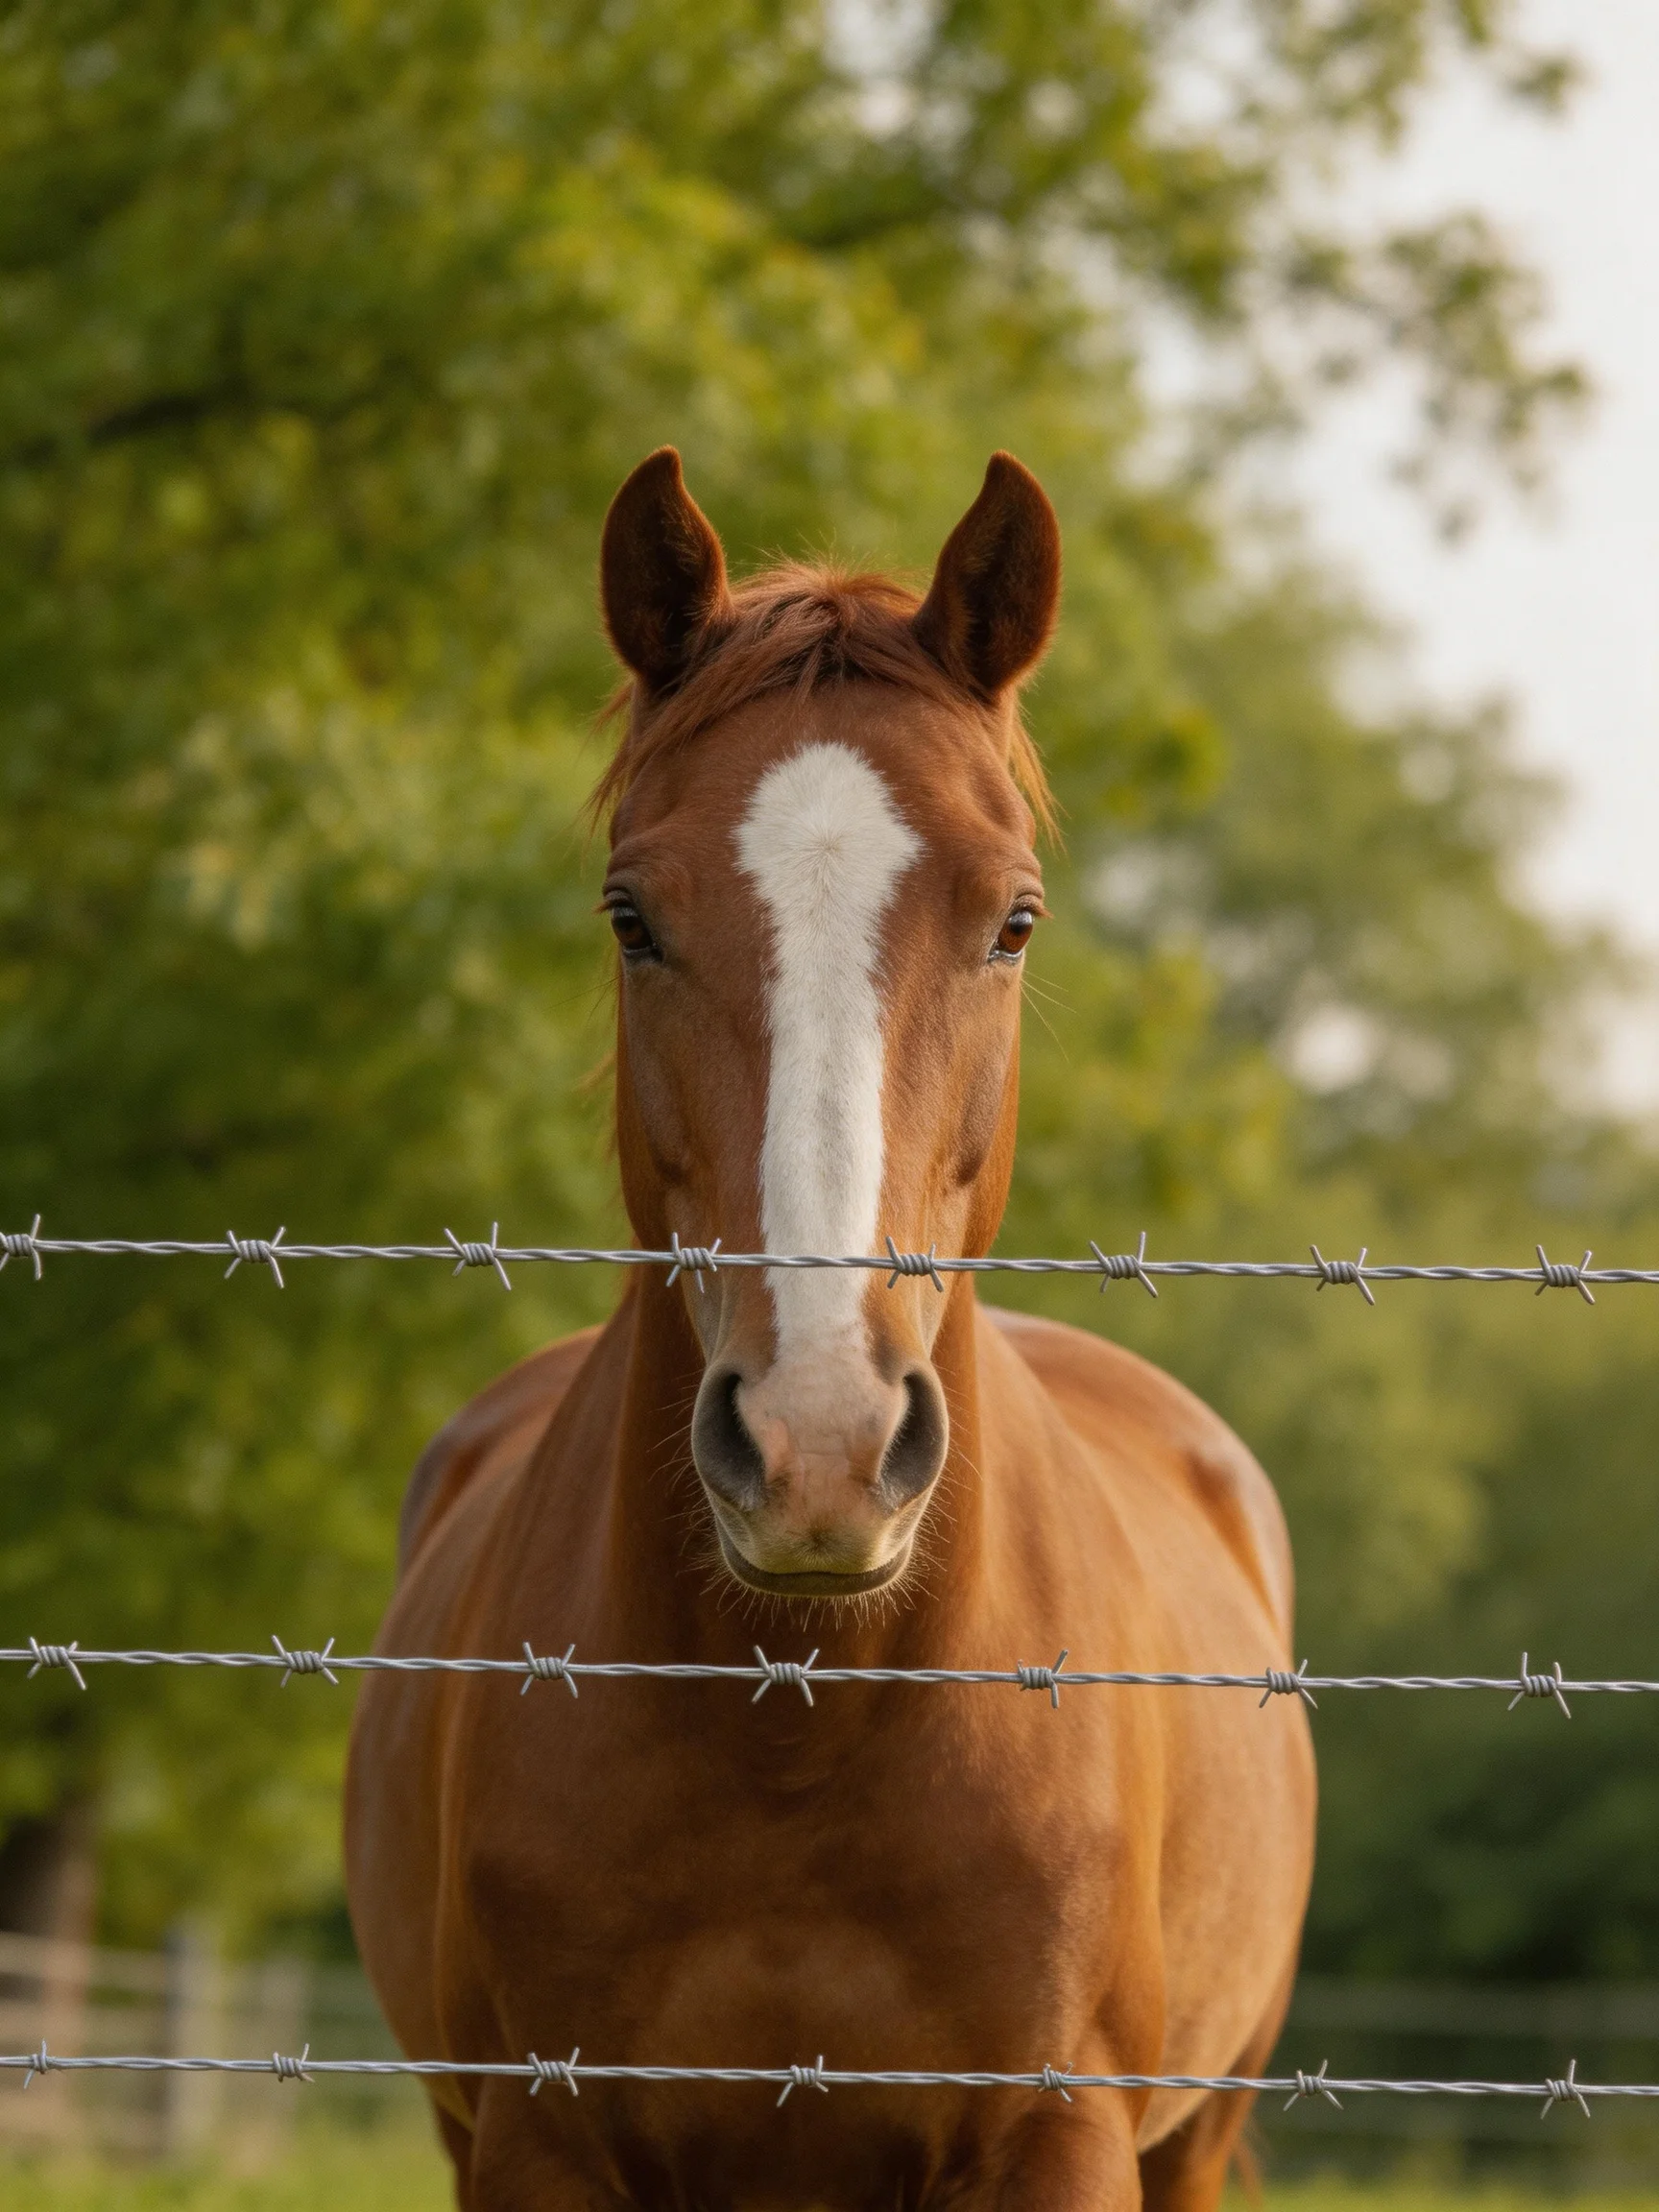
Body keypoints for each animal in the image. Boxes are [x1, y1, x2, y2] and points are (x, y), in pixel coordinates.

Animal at [345, 447, 1316, 2211]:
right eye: (630, 916)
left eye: (1013, 919)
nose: (820, 1446)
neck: (805, 1733)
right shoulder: (531, 2135)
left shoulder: (1062, 2137)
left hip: (1196, 2135)